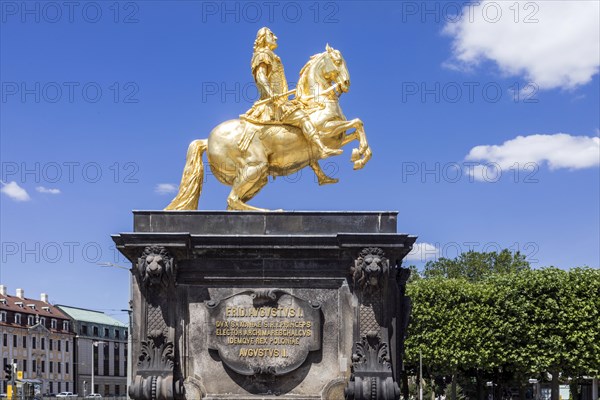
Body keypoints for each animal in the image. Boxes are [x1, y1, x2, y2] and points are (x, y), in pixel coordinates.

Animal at [165, 45, 370, 211]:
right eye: (338, 61)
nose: (346, 83)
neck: (318, 102)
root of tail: (207, 140)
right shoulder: (326, 129)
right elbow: (357, 122)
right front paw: (356, 156)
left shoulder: (339, 138)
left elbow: (357, 130)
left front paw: (358, 156)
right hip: (255, 167)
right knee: (232, 199)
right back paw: (272, 211)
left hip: (258, 176)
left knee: (234, 203)